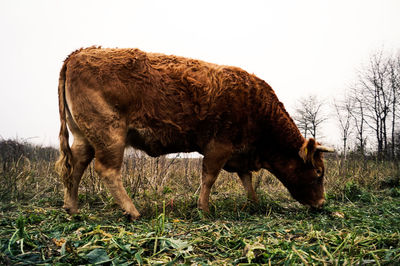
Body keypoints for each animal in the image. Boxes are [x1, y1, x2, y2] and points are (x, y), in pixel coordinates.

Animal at [55, 46, 332, 220]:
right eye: (318, 172)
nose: (322, 203)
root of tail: (77, 55)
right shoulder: (219, 146)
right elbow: (208, 178)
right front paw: (204, 209)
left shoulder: (240, 154)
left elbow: (246, 179)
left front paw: (253, 203)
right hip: (109, 134)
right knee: (107, 170)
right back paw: (132, 211)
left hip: (84, 136)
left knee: (75, 166)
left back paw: (72, 208)